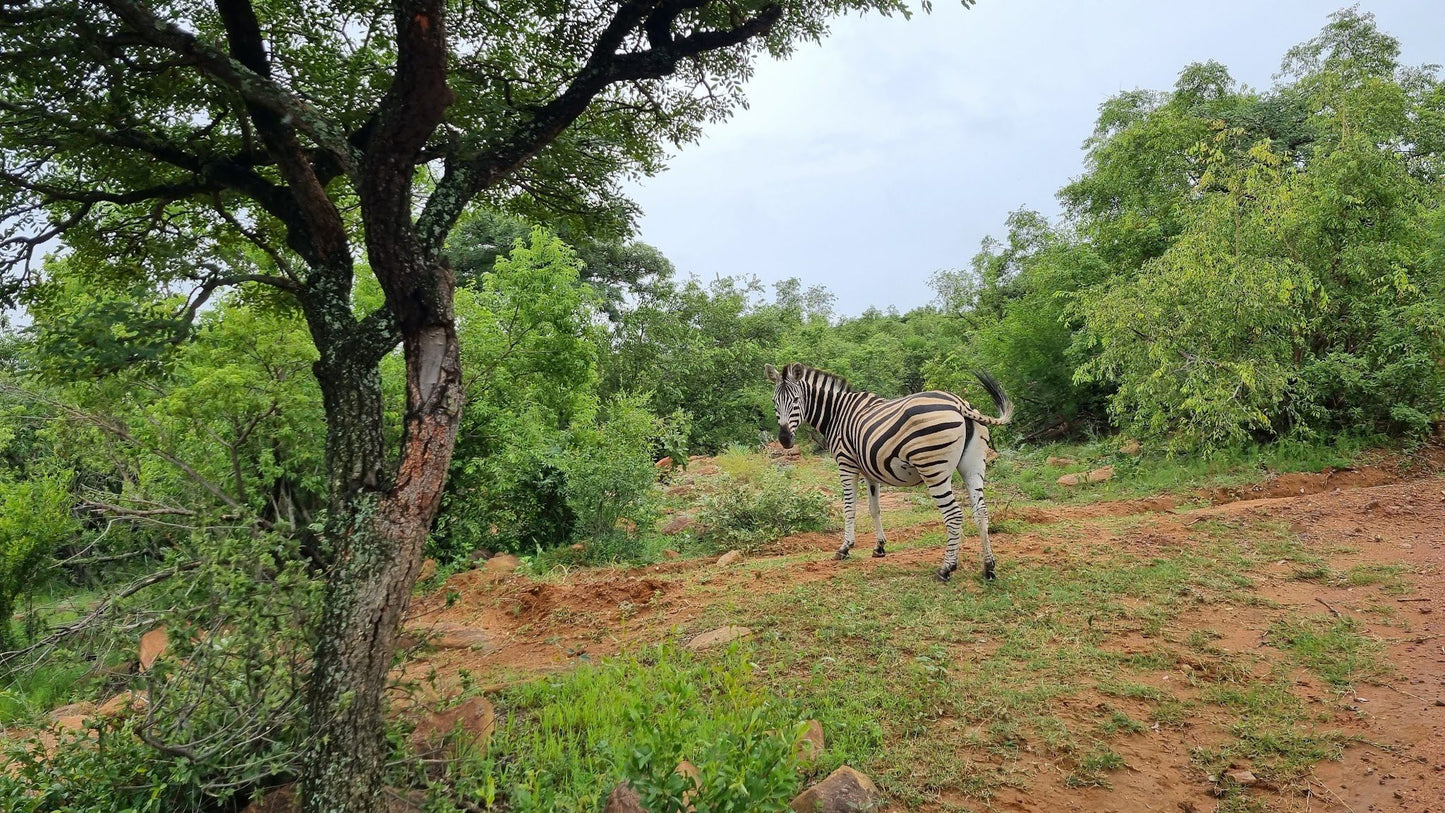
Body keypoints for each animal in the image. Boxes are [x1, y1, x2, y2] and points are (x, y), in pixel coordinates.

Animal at [762, 365, 1011, 583]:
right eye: (775, 402)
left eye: (796, 400)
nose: (784, 440)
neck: (837, 414)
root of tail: (959, 403)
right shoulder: (870, 471)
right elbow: (874, 509)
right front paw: (880, 547)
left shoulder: (846, 463)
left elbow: (850, 508)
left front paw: (845, 548)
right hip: (973, 466)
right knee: (981, 512)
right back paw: (988, 567)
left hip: (933, 468)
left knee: (954, 515)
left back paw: (946, 569)